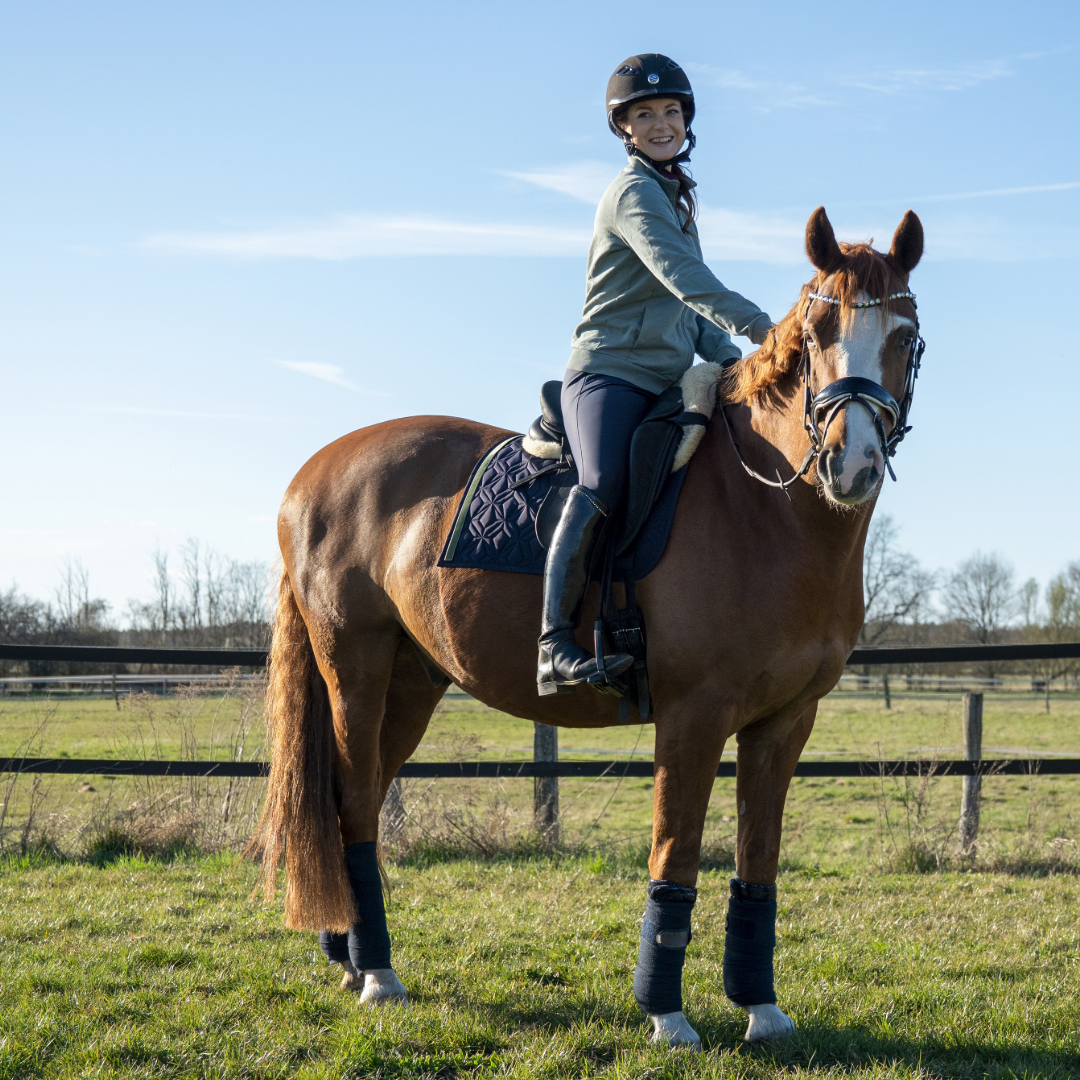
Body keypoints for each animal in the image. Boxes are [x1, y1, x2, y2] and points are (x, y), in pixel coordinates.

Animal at [250, 205, 925, 1049]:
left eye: (905, 334)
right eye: (816, 332)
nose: (851, 463)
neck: (768, 508)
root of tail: (312, 473)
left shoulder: (785, 724)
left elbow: (757, 866)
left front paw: (762, 1009)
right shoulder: (693, 717)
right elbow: (676, 855)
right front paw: (667, 1014)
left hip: (412, 682)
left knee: (361, 800)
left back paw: (349, 956)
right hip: (356, 671)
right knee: (350, 807)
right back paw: (377, 974)